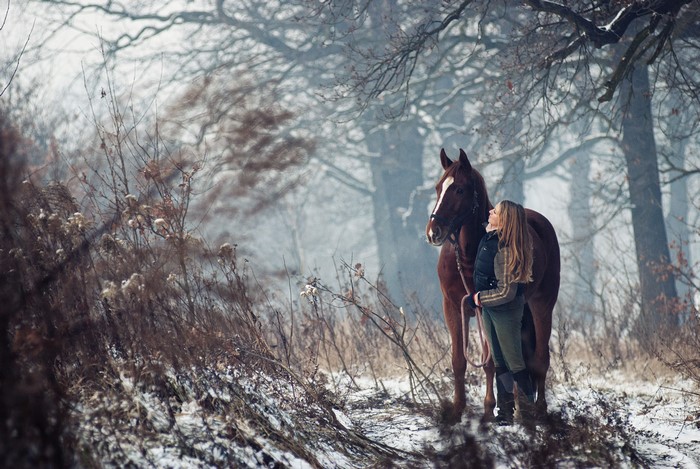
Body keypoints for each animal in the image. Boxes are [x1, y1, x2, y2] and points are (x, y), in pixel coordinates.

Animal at [425, 148, 560, 421]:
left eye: (459, 190)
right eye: (437, 187)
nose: (434, 232)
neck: (470, 255)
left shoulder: (485, 308)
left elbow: (490, 363)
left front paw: (489, 409)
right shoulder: (453, 308)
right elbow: (458, 360)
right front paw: (457, 410)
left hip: (542, 305)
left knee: (540, 359)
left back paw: (538, 411)